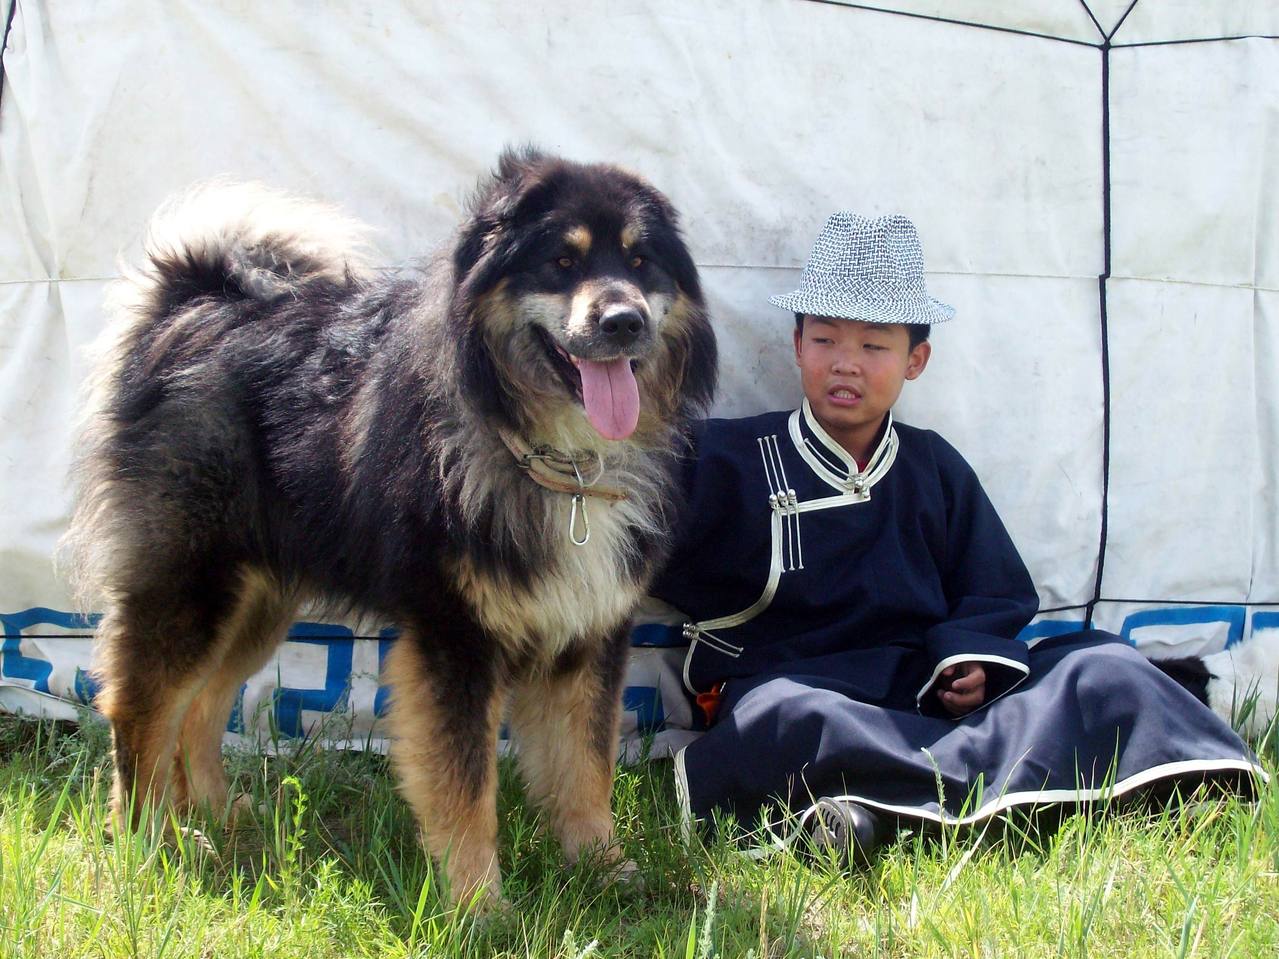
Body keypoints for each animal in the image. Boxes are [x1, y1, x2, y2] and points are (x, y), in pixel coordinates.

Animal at [67, 152, 721, 910]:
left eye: (642, 262)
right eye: (562, 261)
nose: (623, 320)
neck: (557, 460)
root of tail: (189, 304)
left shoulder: (590, 630)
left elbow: (584, 765)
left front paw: (605, 870)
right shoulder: (454, 636)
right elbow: (466, 785)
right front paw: (479, 904)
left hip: (257, 602)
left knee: (200, 708)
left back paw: (218, 817)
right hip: (190, 586)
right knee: (142, 711)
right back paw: (145, 842)